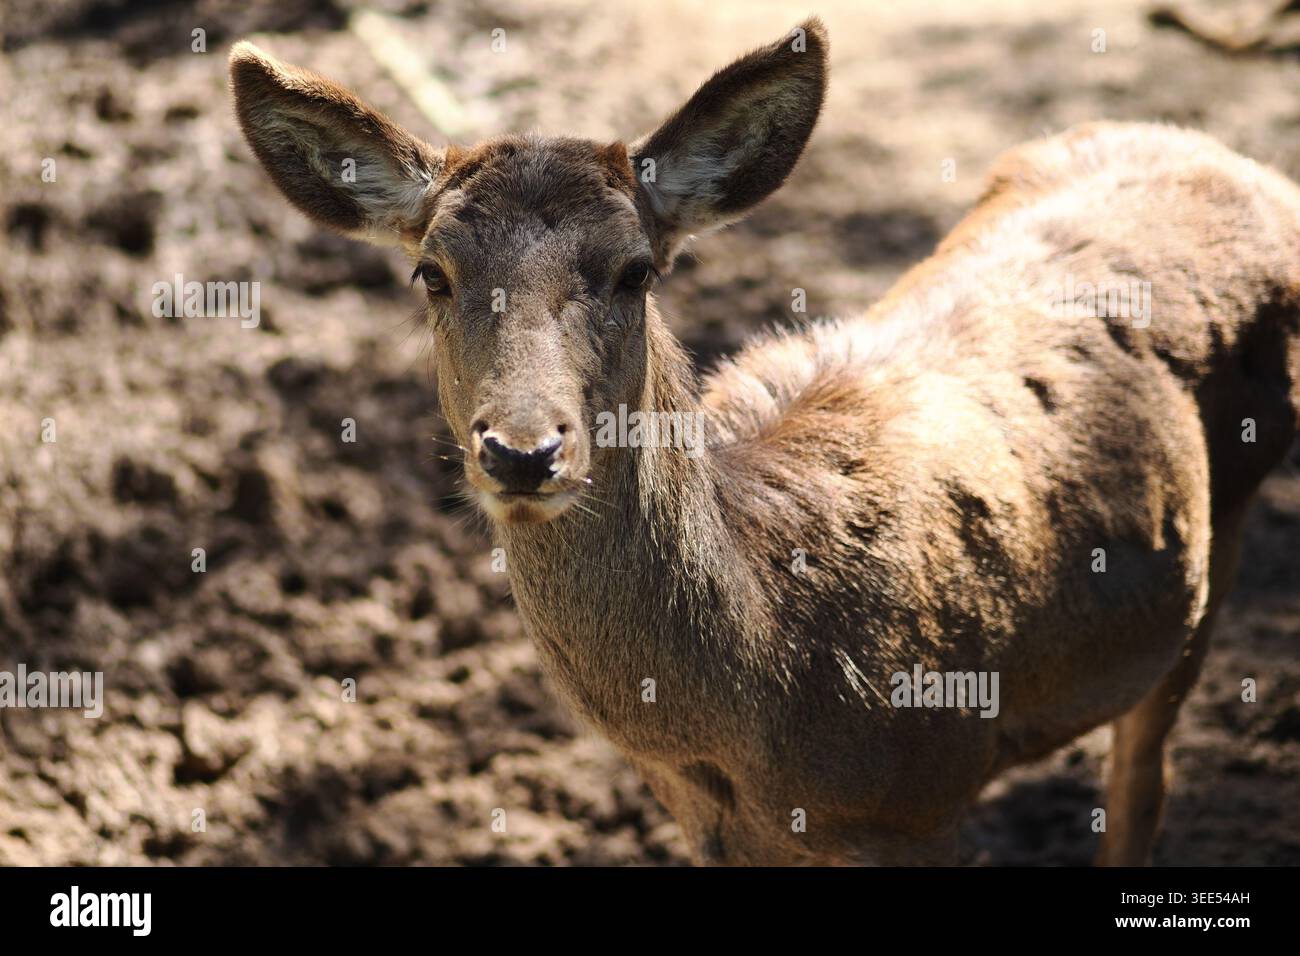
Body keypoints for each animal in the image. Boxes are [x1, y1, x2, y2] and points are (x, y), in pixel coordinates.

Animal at [229, 17, 1300, 865]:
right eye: (432, 273)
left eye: (635, 271)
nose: (523, 451)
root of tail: (1241, 165)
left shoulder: (928, 798)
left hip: (1232, 517)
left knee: (1143, 781)